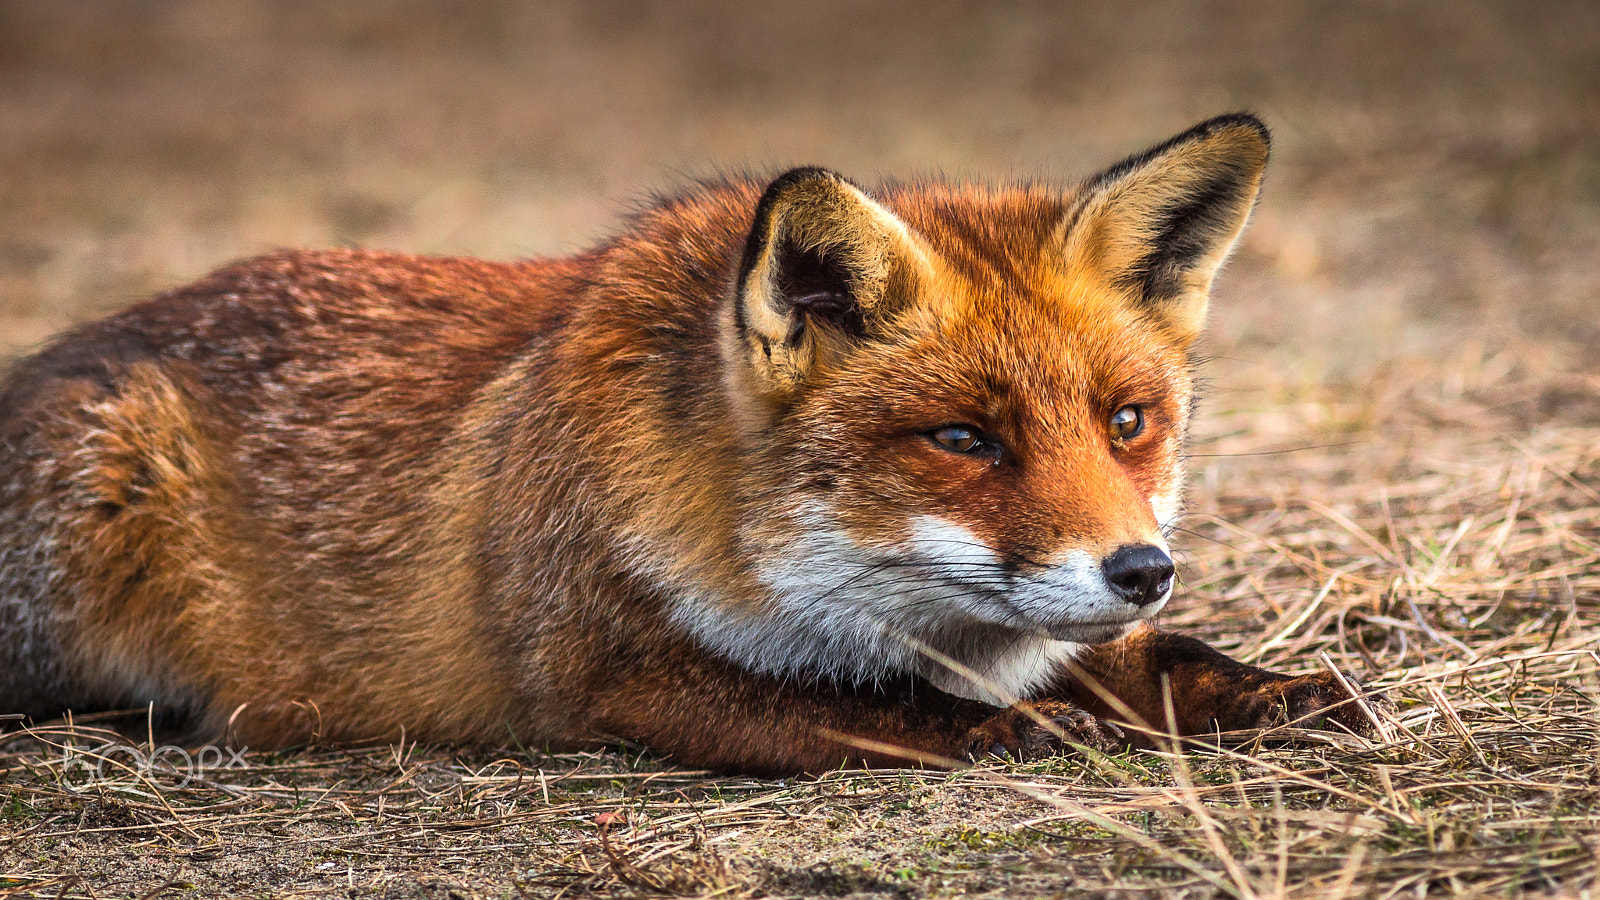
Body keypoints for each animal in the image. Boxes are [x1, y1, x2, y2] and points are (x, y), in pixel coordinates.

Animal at [0, 114, 1368, 775]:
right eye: (963, 438)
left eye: (1127, 423)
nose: (1140, 568)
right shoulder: (603, 668)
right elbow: (855, 708)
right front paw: (994, 731)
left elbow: (1159, 661)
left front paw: (1273, 688)